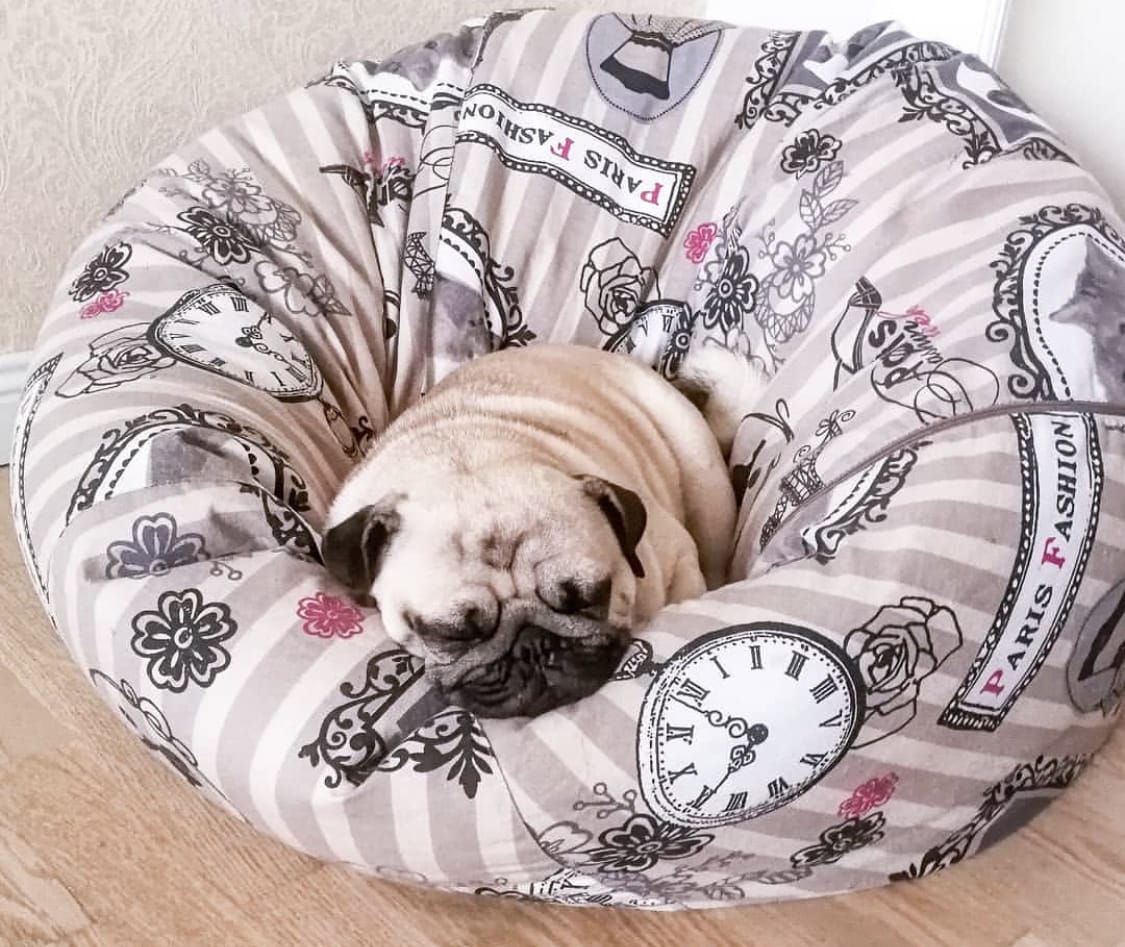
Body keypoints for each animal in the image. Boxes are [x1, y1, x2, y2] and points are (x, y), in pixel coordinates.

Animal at [323, 343, 760, 717]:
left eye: (590, 597)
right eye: (452, 634)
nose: (532, 644)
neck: (469, 457)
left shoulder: (677, 557)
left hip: (704, 481)